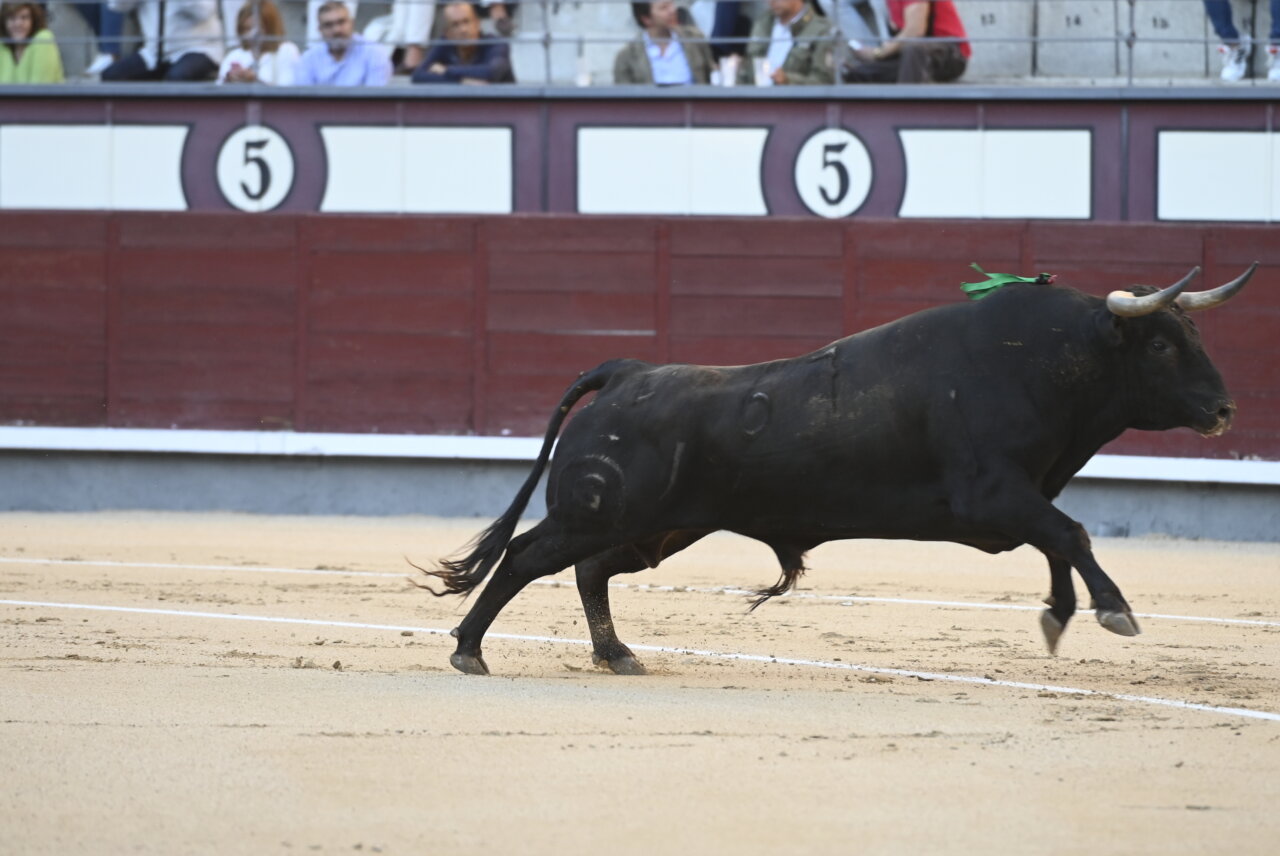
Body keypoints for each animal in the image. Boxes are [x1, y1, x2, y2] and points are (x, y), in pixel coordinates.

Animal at [421, 264, 1258, 676]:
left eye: (1192, 336)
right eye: (1160, 345)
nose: (1223, 409)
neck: (1045, 360)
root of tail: (628, 370)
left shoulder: (1018, 497)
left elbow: (1058, 540)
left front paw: (1058, 615)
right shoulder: (994, 493)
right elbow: (1072, 534)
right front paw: (1112, 610)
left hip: (655, 528)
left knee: (588, 570)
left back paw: (616, 656)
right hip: (597, 511)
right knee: (525, 557)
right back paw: (468, 651)